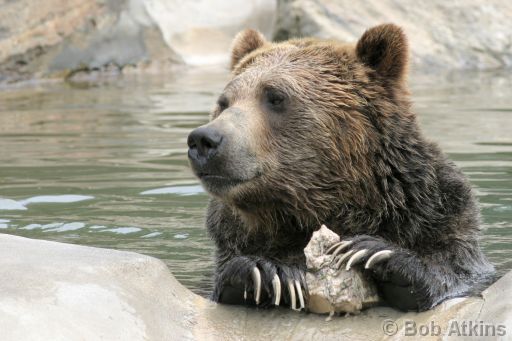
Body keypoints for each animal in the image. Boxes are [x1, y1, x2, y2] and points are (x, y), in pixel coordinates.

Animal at [187, 23, 492, 310]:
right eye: (224, 102)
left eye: (275, 97)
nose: (204, 140)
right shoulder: (233, 240)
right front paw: (263, 273)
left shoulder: (436, 216)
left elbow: (452, 269)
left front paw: (376, 254)